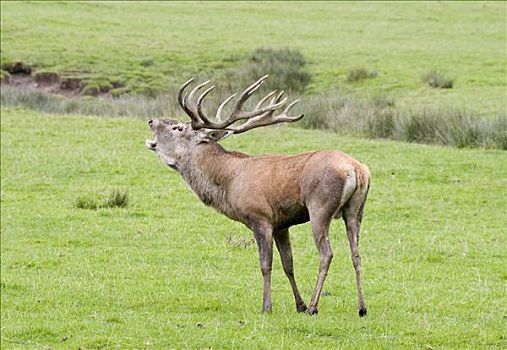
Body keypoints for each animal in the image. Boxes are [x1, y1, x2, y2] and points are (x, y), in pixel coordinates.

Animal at [145, 75, 372, 316]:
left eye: (177, 127)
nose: (151, 121)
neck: (229, 182)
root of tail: (357, 170)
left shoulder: (260, 217)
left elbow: (266, 264)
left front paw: (267, 306)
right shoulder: (282, 224)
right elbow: (288, 264)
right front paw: (298, 305)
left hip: (320, 207)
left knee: (326, 253)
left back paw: (314, 306)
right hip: (356, 210)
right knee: (356, 253)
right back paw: (361, 307)